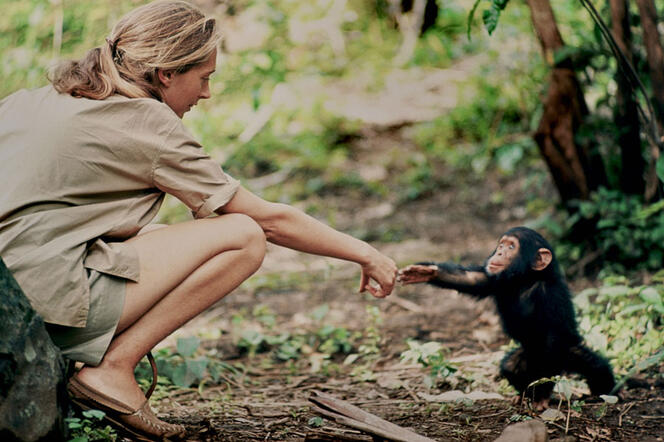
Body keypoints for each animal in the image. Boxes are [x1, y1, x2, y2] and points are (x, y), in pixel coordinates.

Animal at [398, 226, 616, 409]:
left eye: (511, 247)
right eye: (501, 245)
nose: (499, 252)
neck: (524, 280)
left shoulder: (550, 297)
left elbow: (553, 338)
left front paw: (542, 394)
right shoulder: (494, 279)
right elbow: (471, 279)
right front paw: (425, 272)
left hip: (565, 354)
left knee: (594, 365)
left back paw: (606, 391)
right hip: (527, 355)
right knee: (511, 367)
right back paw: (523, 394)